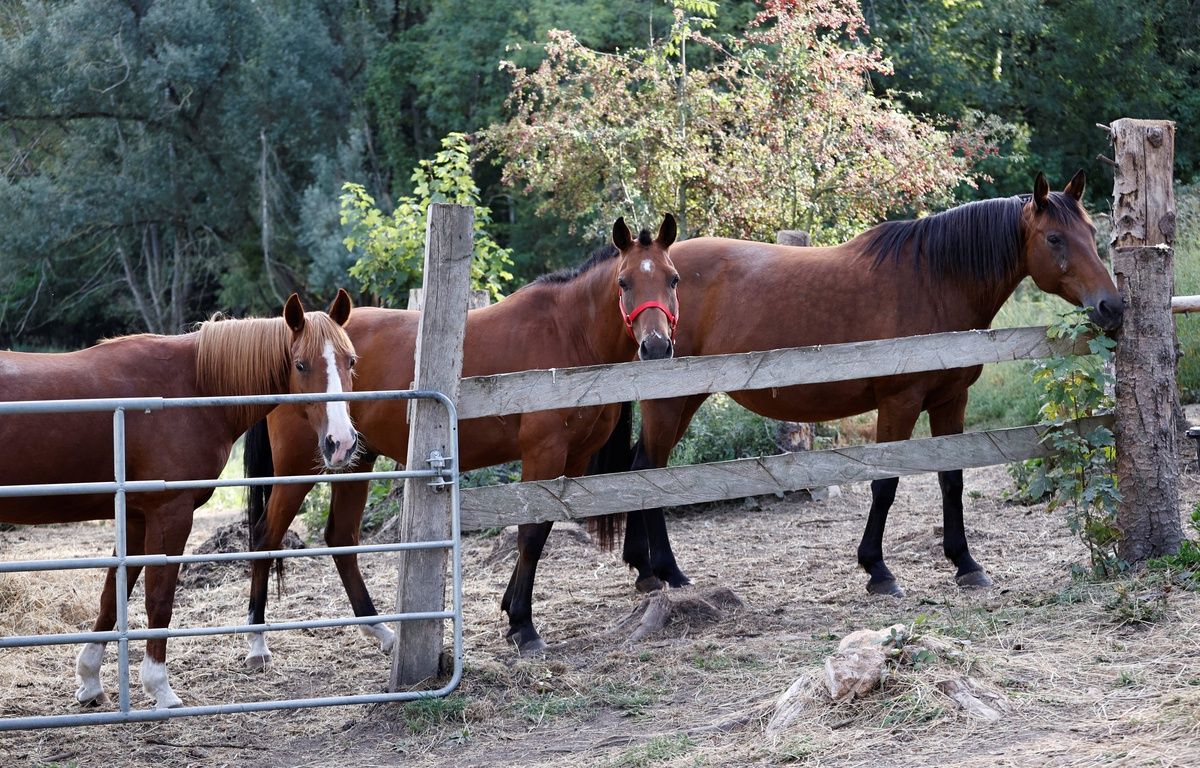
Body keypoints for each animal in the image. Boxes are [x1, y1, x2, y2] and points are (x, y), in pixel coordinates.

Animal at [0, 290, 357, 710]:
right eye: (301, 364)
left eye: (351, 361)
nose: (341, 443)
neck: (192, 386)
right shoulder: (170, 514)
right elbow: (159, 599)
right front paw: (160, 688)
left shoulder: (136, 517)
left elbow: (112, 596)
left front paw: (89, 681)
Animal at [242, 215, 679, 662]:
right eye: (624, 281)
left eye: (673, 279)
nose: (656, 346)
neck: (568, 335)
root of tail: (288, 341)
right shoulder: (543, 455)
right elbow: (529, 534)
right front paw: (523, 625)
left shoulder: (571, 462)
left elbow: (540, 529)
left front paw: (510, 610)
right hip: (297, 467)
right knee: (265, 535)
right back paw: (258, 640)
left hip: (355, 458)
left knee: (340, 538)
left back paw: (381, 630)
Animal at [619, 171, 1124, 598]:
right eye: (1054, 238)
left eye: (1091, 234)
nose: (1112, 306)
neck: (934, 279)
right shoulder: (899, 404)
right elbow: (885, 484)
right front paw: (878, 570)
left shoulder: (951, 401)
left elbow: (952, 479)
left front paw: (965, 563)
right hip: (670, 402)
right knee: (647, 469)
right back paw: (667, 571)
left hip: (682, 402)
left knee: (642, 469)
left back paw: (645, 569)